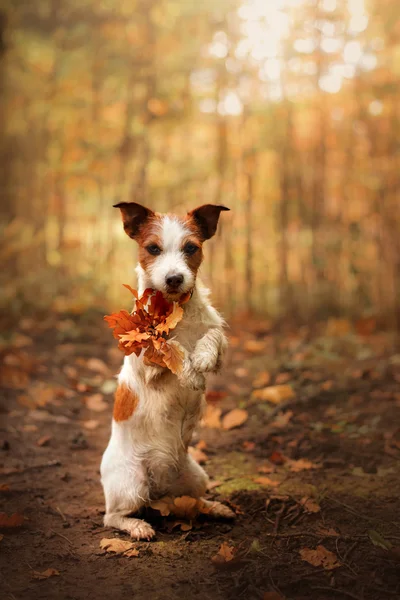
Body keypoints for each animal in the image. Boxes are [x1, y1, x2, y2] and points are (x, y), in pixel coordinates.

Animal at [101, 202, 234, 540]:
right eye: (152, 248)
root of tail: (159, 493)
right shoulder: (145, 356)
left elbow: (212, 337)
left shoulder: (219, 344)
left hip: (196, 476)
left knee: (192, 501)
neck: (176, 310)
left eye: (191, 248)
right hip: (131, 483)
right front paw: (190, 372)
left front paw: (201, 358)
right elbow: (169, 348)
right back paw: (137, 526)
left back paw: (215, 508)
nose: (174, 278)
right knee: (113, 516)